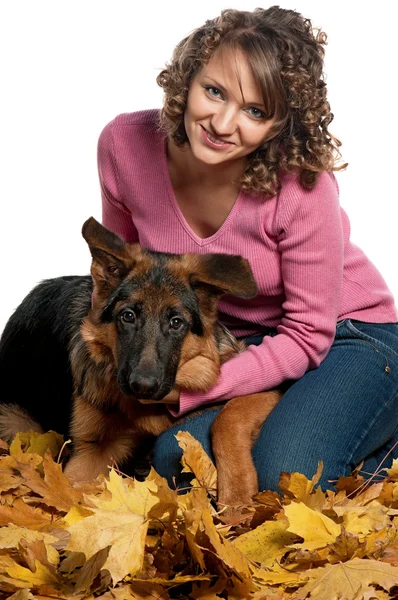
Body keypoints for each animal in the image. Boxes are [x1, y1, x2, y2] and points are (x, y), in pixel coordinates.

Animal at [0, 218, 282, 508]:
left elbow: (227, 418)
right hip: (16, 423)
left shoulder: (253, 385)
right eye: (128, 316)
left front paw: (238, 494)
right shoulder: (89, 454)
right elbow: (72, 498)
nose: (142, 386)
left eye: (176, 322)